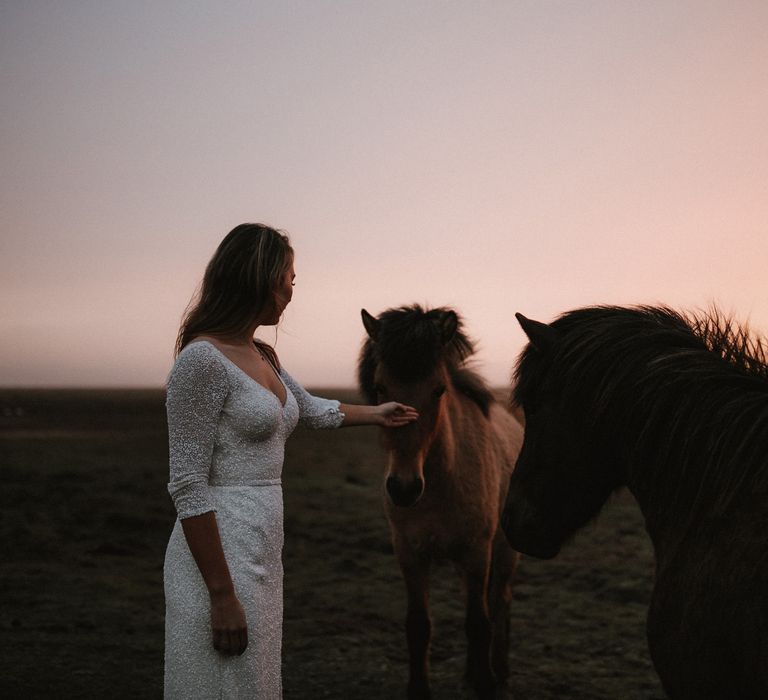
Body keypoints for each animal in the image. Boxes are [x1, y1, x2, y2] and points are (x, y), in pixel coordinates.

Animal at [358, 306, 524, 700]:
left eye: (438, 389)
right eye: (380, 388)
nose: (403, 488)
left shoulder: (478, 552)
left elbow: (479, 623)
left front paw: (486, 684)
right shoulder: (410, 554)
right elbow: (419, 626)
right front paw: (420, 689)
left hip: (504, 552)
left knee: (501, 601)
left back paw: (499, 670)